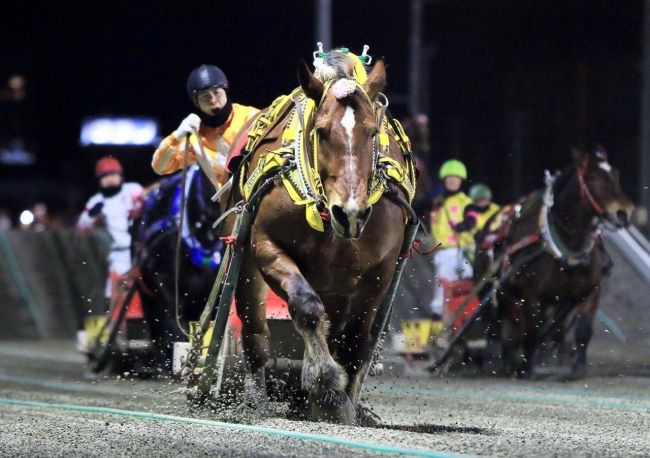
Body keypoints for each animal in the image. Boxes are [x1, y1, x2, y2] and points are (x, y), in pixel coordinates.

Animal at [223, 52, 416, 422]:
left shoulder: (378, 273)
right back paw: (258, 398)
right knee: (255, 332)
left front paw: (342, 401)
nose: (350, 213)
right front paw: (326, 384)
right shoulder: (266, 246)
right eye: (322, 132)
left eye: (372, 132)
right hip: (246, 264)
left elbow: (357, 340)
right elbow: (307, 307)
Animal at [478, 148, 632, 380]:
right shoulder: (531, 295)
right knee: (498, 318)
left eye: (615, 174)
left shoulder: (590, 289)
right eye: (592, 177)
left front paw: (578, 367)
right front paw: (525, 368)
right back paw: (498, 357)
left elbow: (583, 329)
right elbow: (531, 331)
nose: (624, 212)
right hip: (497, 286)